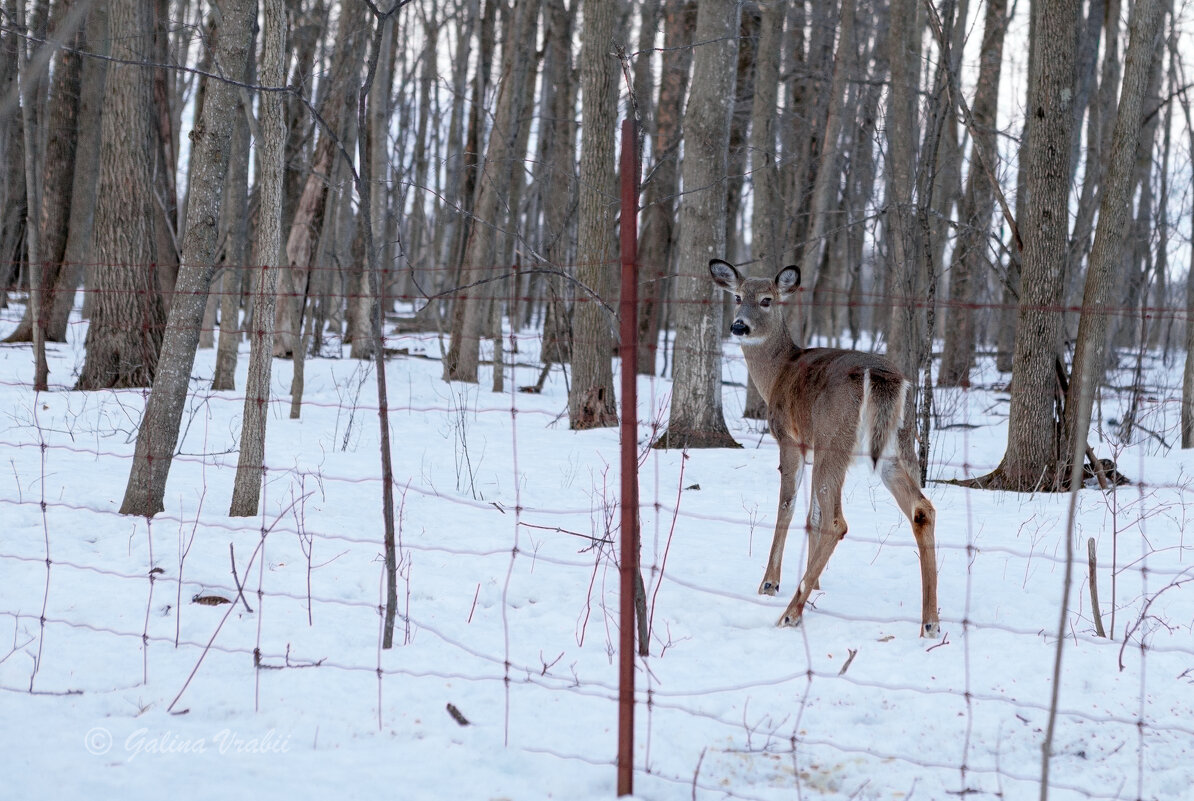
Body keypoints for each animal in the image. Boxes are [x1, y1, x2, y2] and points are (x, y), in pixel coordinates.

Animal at [706, 260, 940, 644]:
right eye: (738, 297)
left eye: (767, 300)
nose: (739, 326)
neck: (778, 373)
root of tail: (881, 376)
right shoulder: (813, 448)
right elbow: (811, 515)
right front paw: (815, 584)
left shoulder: (791, 439)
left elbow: (788, 506)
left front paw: (770, 583)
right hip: (896, 446)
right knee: (922, 509)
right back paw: (931, 622)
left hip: (836, 438)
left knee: (837, 521)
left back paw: (789, 614)